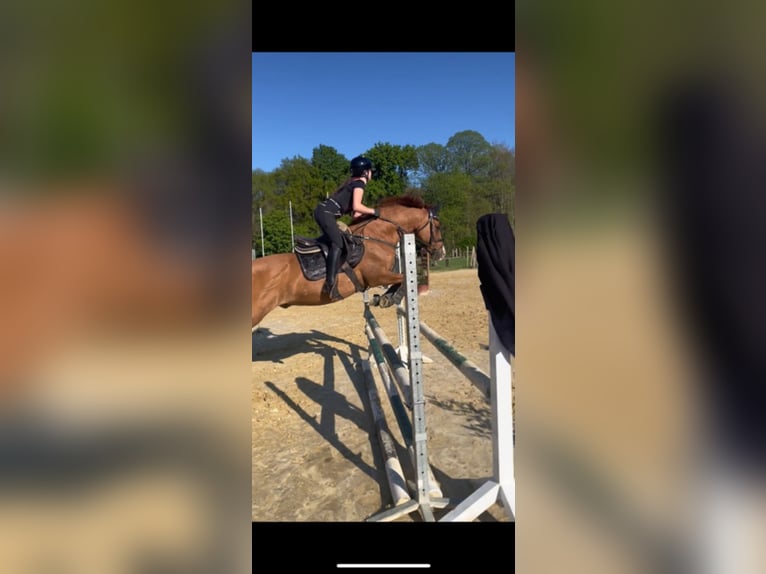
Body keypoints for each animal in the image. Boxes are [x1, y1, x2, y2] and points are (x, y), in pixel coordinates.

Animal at [252, 195, 446, 328]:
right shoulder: (376, 276)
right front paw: (391, 298)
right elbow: (406, 278)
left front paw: (384, 298)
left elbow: (402, 279)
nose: (441, 253)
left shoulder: (381, 276)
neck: (376, 237)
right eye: (437, 226)